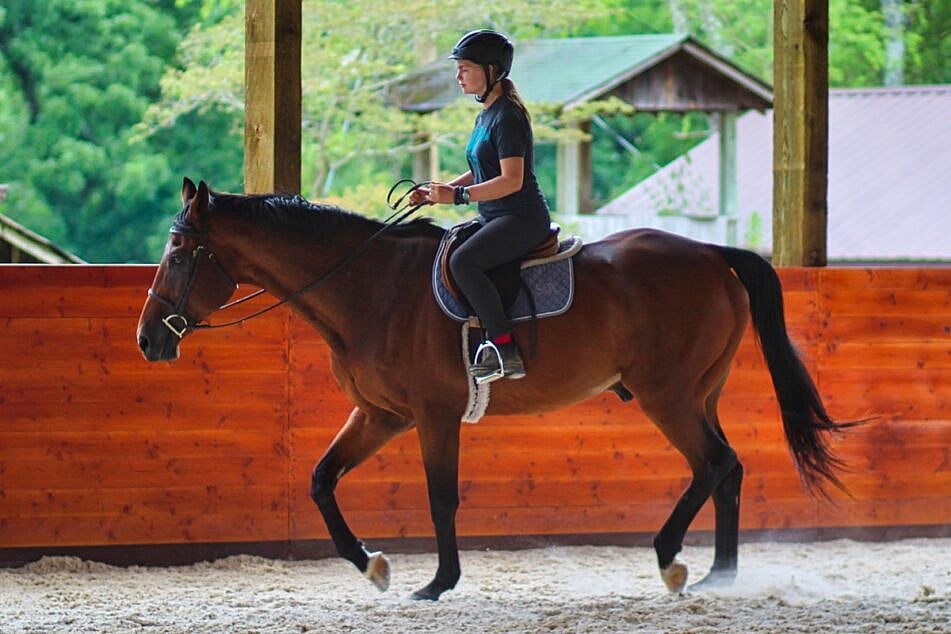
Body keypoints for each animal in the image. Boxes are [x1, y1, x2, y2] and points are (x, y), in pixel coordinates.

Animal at [137, 178, 856, 601]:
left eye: (178, 251)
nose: (148, 340)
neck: (370, 287)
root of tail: (710, 253)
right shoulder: (380, 414)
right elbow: (320, 480)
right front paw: (371, 565)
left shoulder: (432, 415)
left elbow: (440, 499)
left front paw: (437, 582)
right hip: (698, 394)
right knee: (728, 469)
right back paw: (719, 574)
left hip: (668, 396)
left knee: (713, 463)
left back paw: (672, 561)